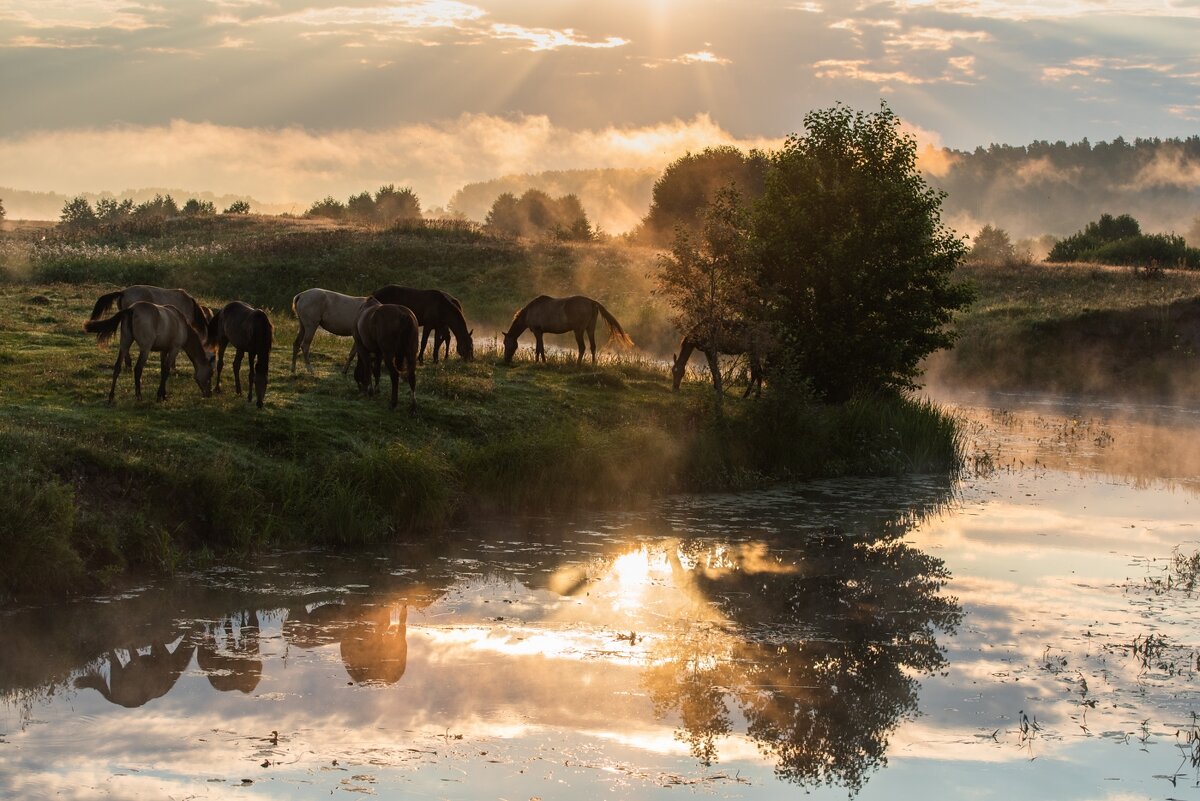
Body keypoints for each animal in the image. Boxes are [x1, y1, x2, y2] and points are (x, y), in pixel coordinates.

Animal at [84, 298, 213, 402]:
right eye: (210, 374)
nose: (209, 394)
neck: (181, 324)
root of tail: (132, 309)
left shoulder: (163, 350)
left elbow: (163, 370)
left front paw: (163, 394)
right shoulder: (174, 349)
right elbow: (166, 371)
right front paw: (160, 395)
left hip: (125, 344)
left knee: (117, 367)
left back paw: (111, 397)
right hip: (145, 349)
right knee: (138, 369)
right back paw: (139, 396)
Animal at [504, 296, 638, 366]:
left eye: (506, 343)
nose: (506, 360)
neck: (529, 312)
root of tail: (592, 302)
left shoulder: (537, 332)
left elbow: (539, 348)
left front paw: (540, 362)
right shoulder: (540, 333)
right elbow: (539, 348)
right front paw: (540, 361)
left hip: (578, 330)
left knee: (582, 347)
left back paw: (577, 365)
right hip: (590, 329)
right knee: (593, 346)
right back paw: (593, 364)